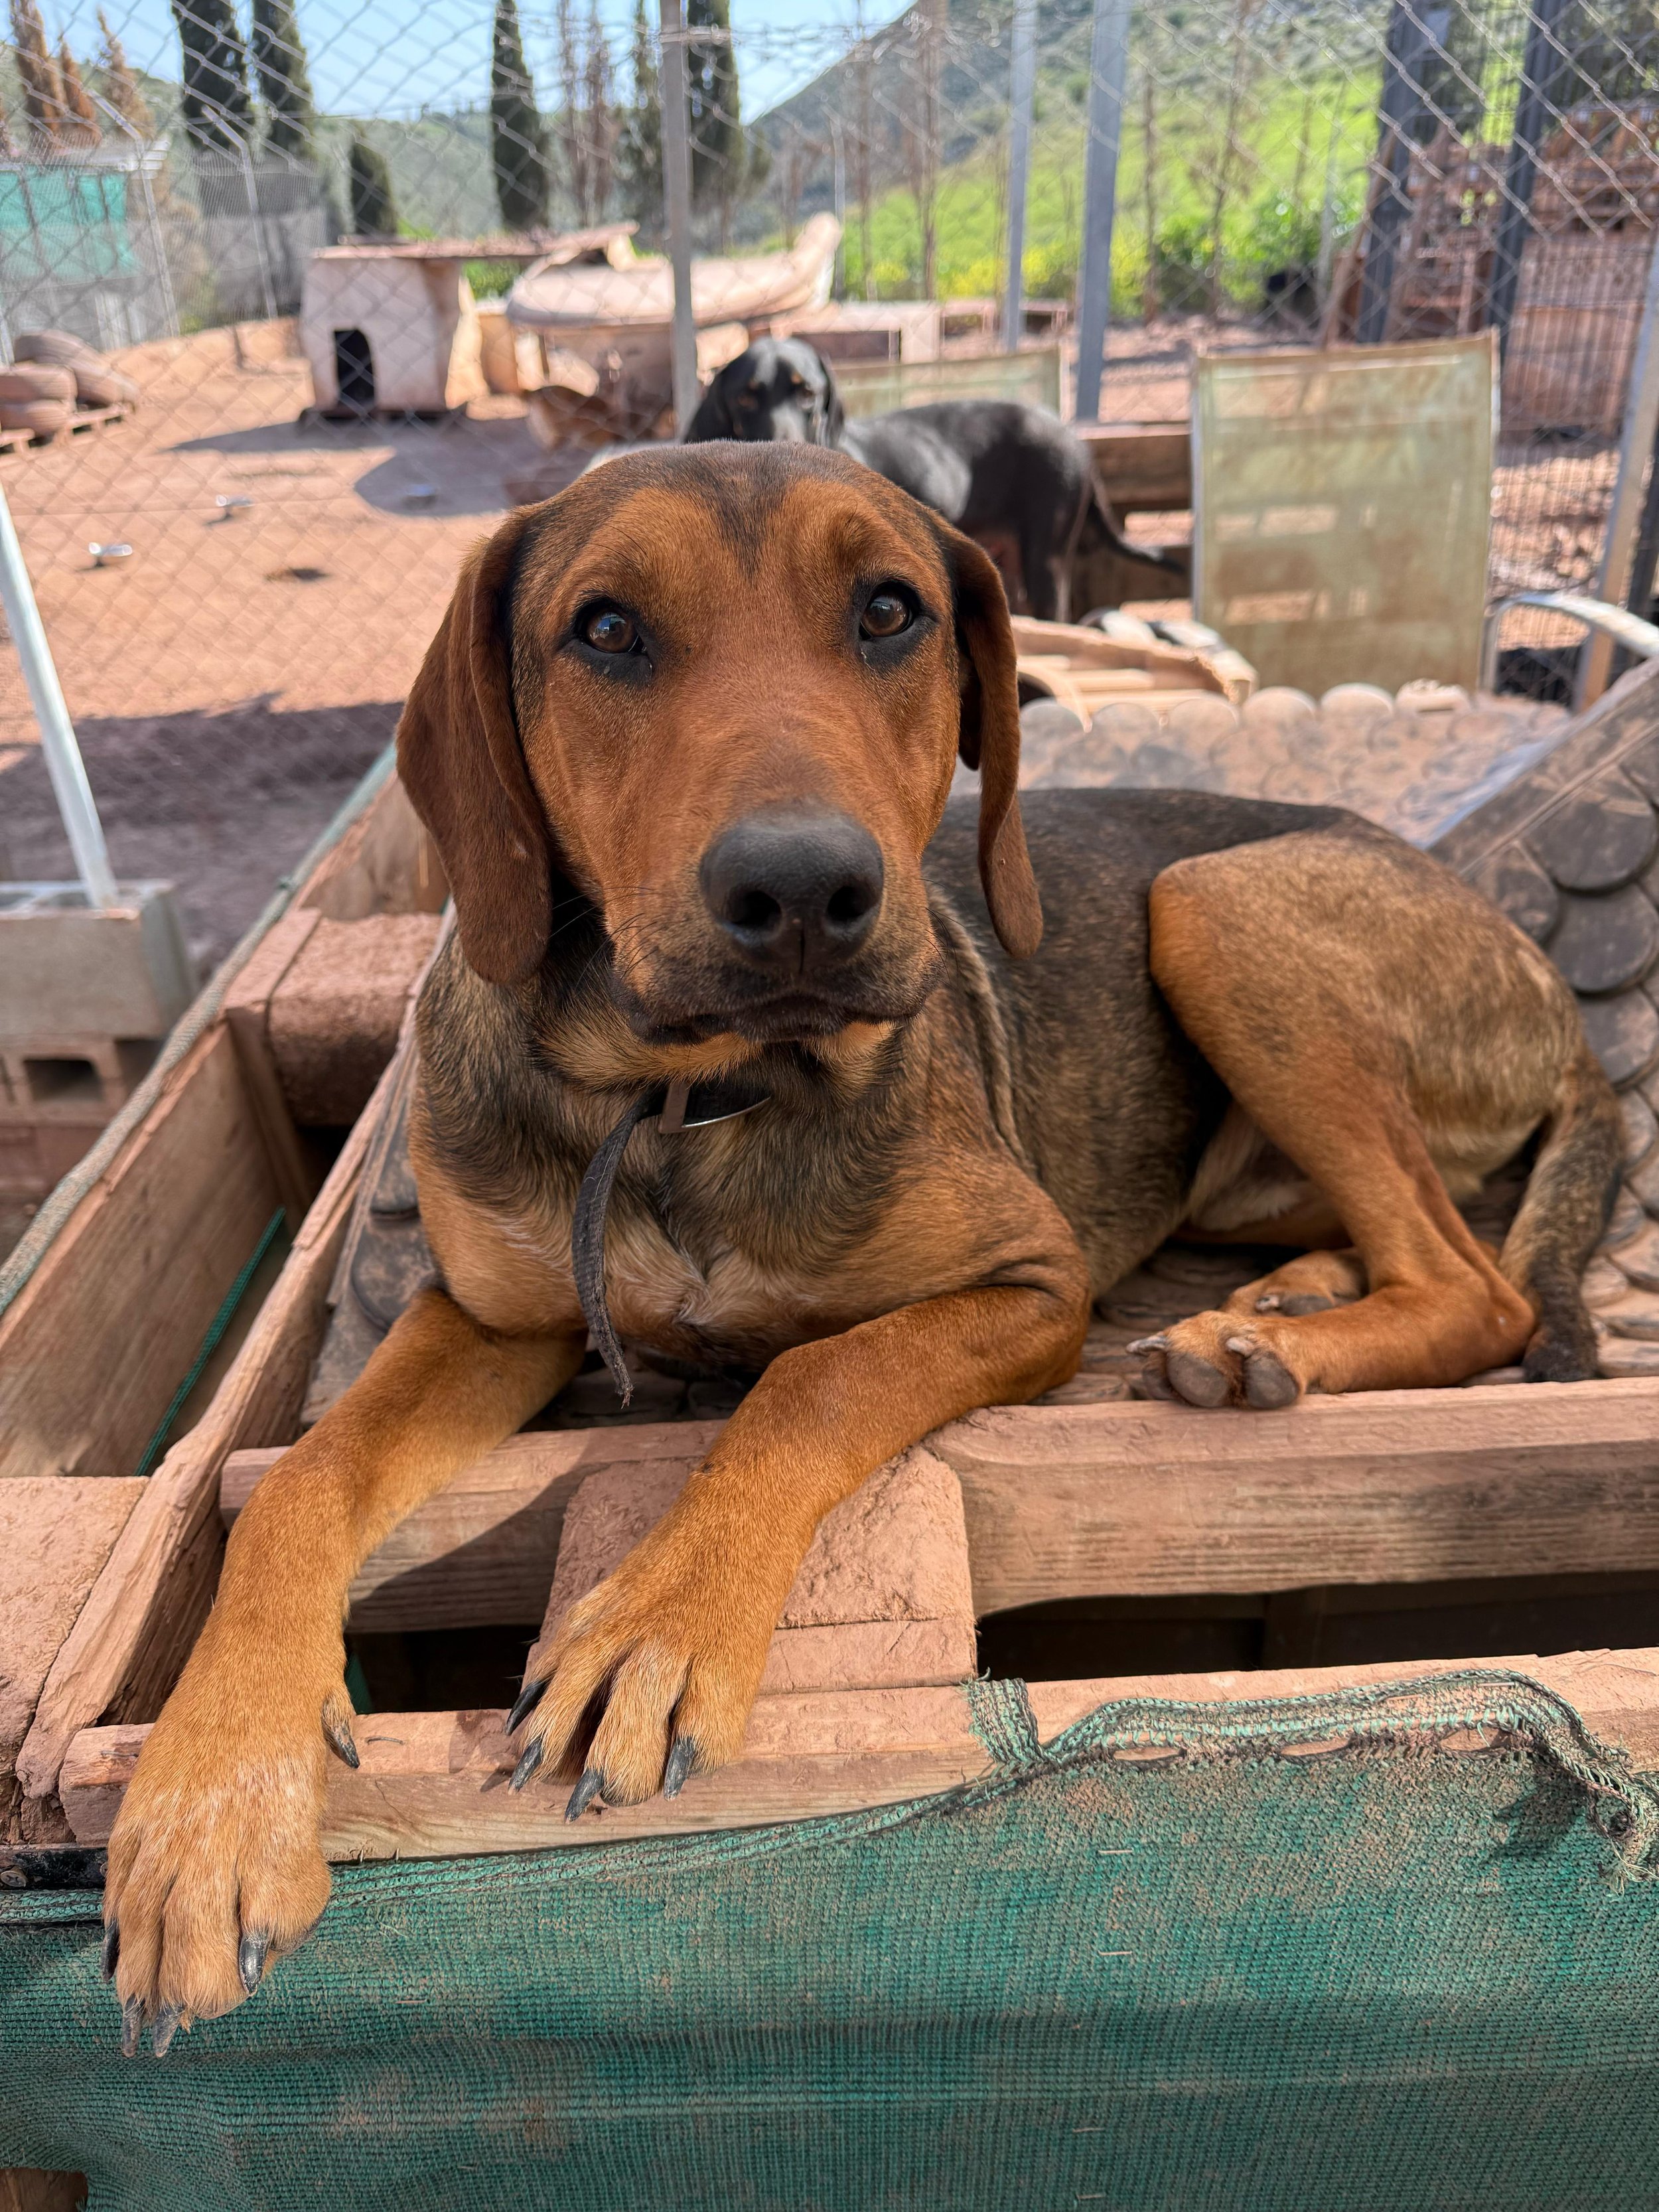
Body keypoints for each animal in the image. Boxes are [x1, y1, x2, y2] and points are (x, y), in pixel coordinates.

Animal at [102, 443, 1620, 2051]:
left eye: (890, 609)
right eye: (604, 628)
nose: (801, 893)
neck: (686, 1093)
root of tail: (1535, 963)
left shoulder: (1033, 1285)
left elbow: (811, 1376)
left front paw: (658, 1622)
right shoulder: (495, 1315)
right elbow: (299, 1481)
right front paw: (210, 1798)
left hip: (1215, 903)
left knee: (1477, 1284)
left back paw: (1259, 1342)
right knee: (1409, 1240)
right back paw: (1273, 1312)